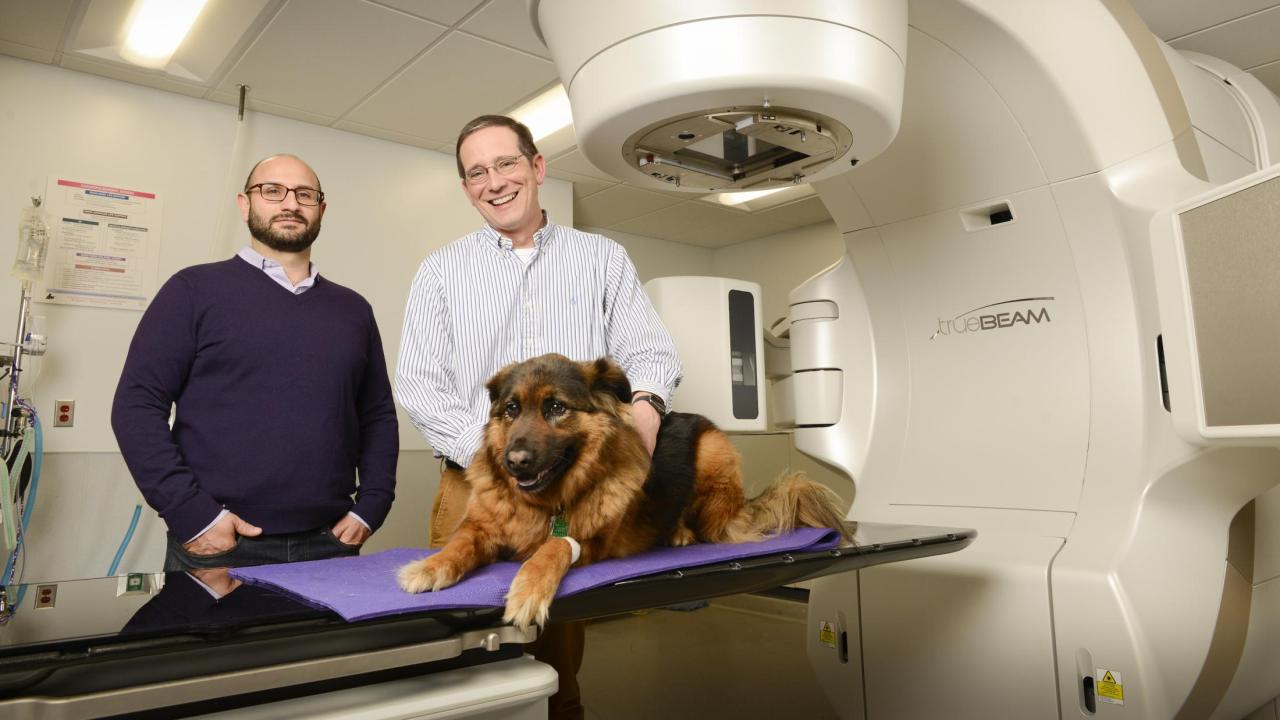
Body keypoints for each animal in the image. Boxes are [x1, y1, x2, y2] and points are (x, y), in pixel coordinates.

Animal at [394, 353, 844, 627]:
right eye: (512, 409)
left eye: (556, 408)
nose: (514, 461)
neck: (544, 503)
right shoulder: (483, 526)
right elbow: (461, 542)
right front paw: (430, 566)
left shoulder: (591, 541)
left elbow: (552, 548)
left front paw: (528, 588)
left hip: (712, 454)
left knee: (701, 521)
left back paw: (680, 533)